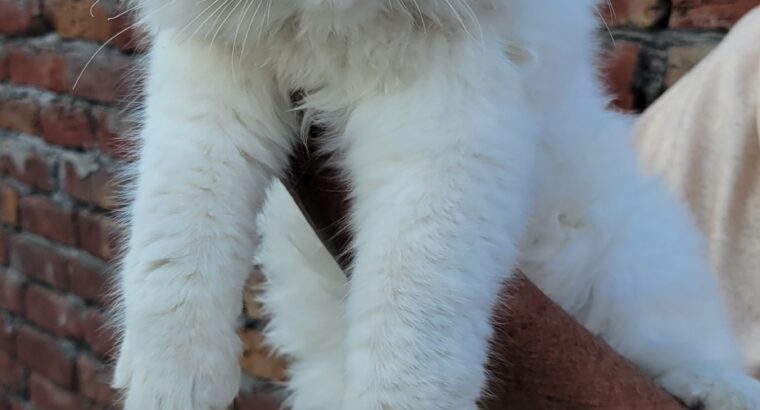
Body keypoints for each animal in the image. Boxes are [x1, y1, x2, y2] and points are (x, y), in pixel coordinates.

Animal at [113, 0, 760, 408]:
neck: (337, 46)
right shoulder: (206, 93)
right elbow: (173, 246)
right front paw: (168, 387)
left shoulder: (449, 142)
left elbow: (413, 316)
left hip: (639, 272)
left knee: (684, 352)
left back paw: (717, 391)